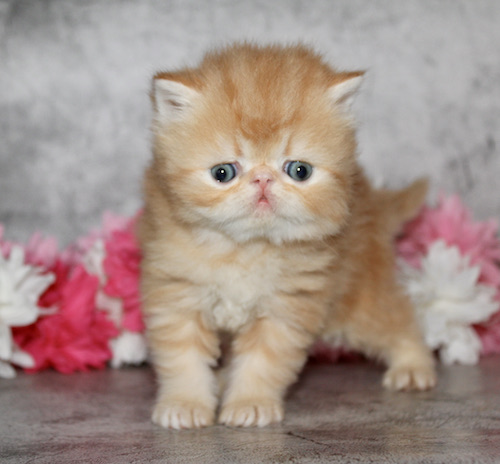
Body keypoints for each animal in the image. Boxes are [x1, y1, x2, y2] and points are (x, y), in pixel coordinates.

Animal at [139, 43, 436, 430]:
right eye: (223, 173)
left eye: (299, 170)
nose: (263, 179)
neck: (246, 248)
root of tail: (372, 201)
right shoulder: (177, 295)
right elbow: (183, 359)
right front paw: (186, 404)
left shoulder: (287, 305)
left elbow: (262, 362)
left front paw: (250, 403)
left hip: (360, 300)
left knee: (398, 319)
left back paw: (414, 366)